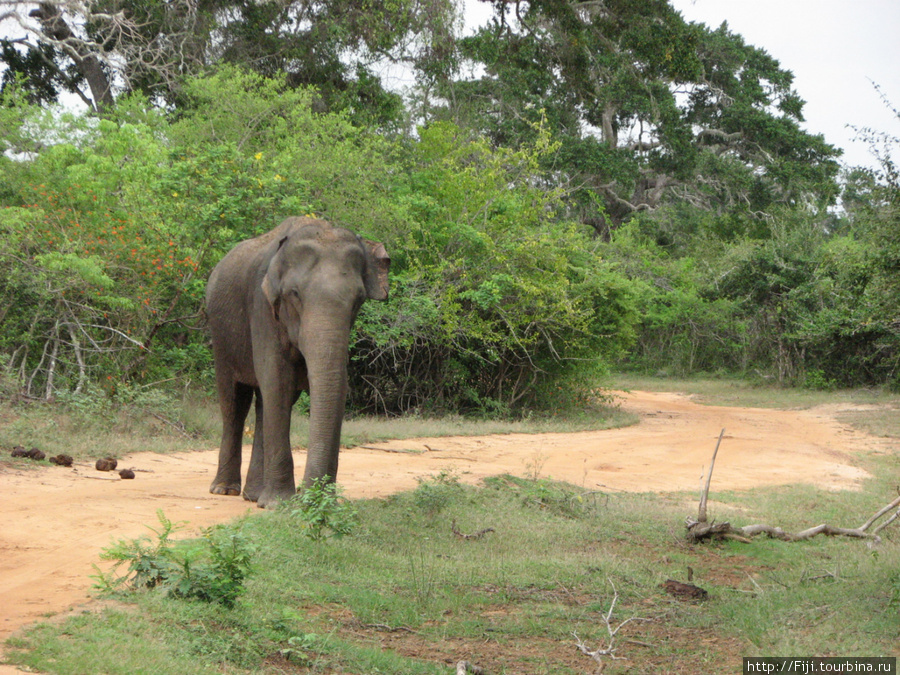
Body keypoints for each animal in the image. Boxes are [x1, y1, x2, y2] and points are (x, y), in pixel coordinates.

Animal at [207, 217, 390, 508]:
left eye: (358, 300)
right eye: (294, 294)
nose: (309, 495)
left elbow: (329, 387)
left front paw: (318, 502)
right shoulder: (262, 308)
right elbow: (277, 381)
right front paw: (278, 505)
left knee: (263, 403)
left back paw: (253, 495)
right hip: (221, 335)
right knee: (234, 401)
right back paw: (225, 490)